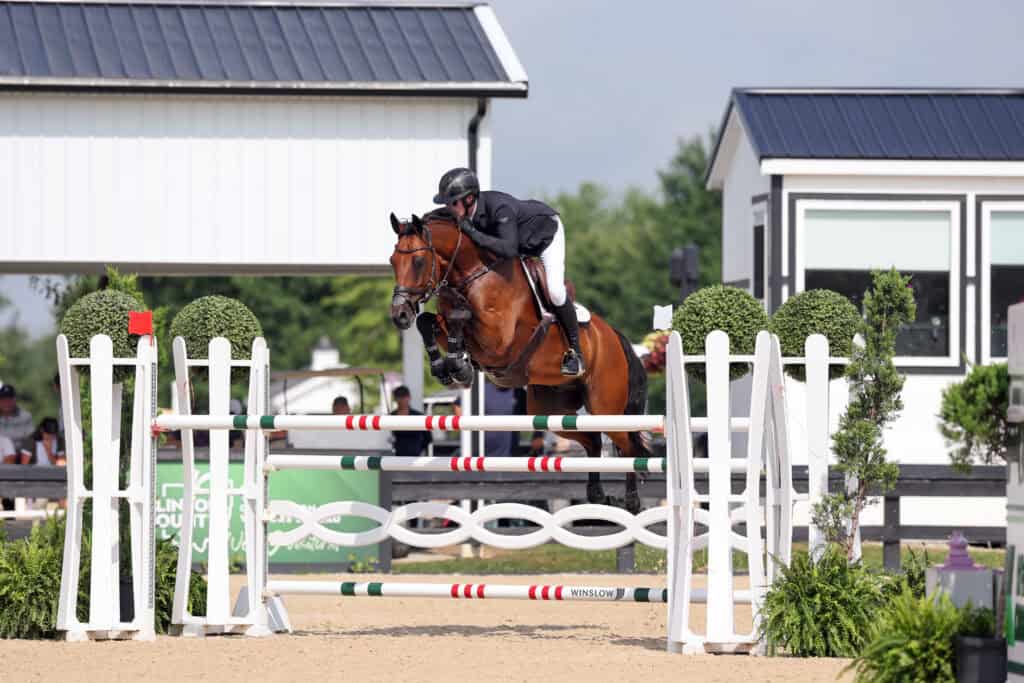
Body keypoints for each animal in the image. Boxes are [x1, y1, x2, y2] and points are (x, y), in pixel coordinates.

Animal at [388, 211, 651, 512]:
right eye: (392, 261)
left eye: (419, 261)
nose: (399, 315)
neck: (471, 274)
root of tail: (615, 337)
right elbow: (428, 321)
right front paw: (446, 367)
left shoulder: (498, 340)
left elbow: (459, 317)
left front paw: (459, 366)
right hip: (551, 411)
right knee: (594, 440)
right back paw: (598, 494)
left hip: (605, 408)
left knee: (628, 447)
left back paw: (632, 501)